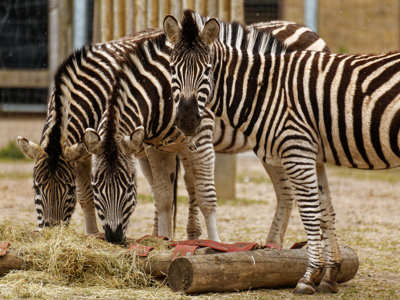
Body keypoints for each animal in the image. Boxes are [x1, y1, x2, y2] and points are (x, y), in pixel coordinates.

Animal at [162, 12, 400, 294]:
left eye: (208, 70)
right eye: (173, 69)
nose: (187, 121)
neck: (269, 90)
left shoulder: (297, 151)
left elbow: (310, 213)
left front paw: (309, 277)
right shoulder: (314, 155)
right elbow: (325, 211)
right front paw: (330, 274)